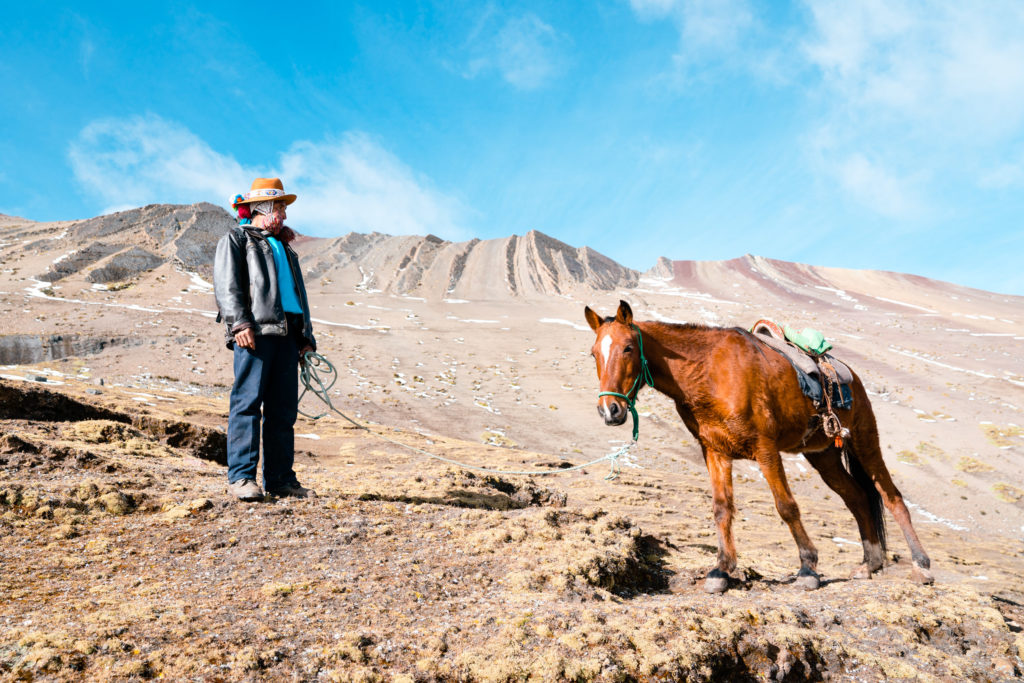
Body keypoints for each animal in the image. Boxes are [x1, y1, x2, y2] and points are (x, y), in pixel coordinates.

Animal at [581, 299, 933, 593]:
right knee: (858, 498)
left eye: (628, 348)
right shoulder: (715, 451)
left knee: (891, 497)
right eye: (594, 353)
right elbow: (722, 508)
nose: (610, 410)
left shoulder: (765, 449)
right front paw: (721, 570)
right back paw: (870, 564)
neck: (708, 372)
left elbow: (786, 507)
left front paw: (808, 568)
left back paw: (921, 566)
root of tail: (852, 377)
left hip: (863, 440)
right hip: (824, 456)